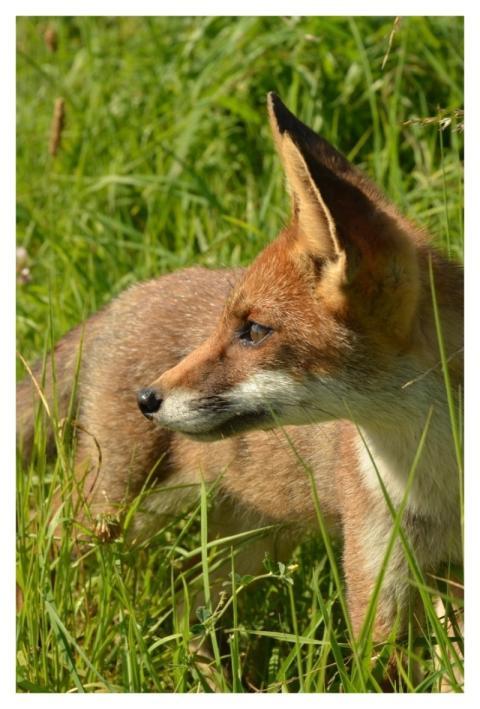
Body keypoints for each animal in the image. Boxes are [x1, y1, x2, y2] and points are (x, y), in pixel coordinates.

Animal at [17, 93, 463, 683]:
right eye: (231, 325)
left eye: (254, 330)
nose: (147, 399)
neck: (442, 477)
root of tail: (122, 299)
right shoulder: (378, 584)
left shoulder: (445, 578)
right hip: (111, 512)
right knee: (38, 559)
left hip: (250, 541)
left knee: (184, 604)